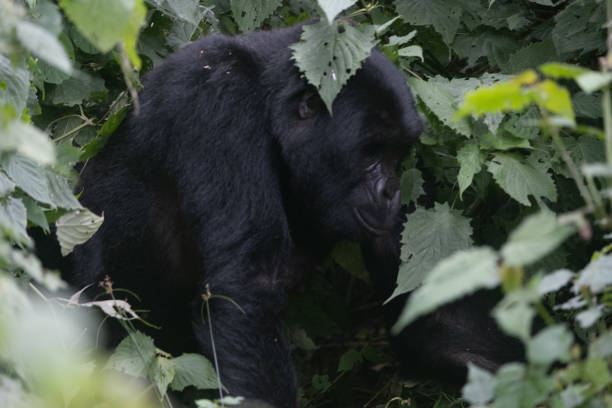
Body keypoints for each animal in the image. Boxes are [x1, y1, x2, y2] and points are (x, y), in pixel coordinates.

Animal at [67, 24, 420, 408]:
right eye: (370, 153)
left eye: (396, 154)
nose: (391, 191)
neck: (267, 95)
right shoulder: (220, 101)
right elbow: (248, 286)